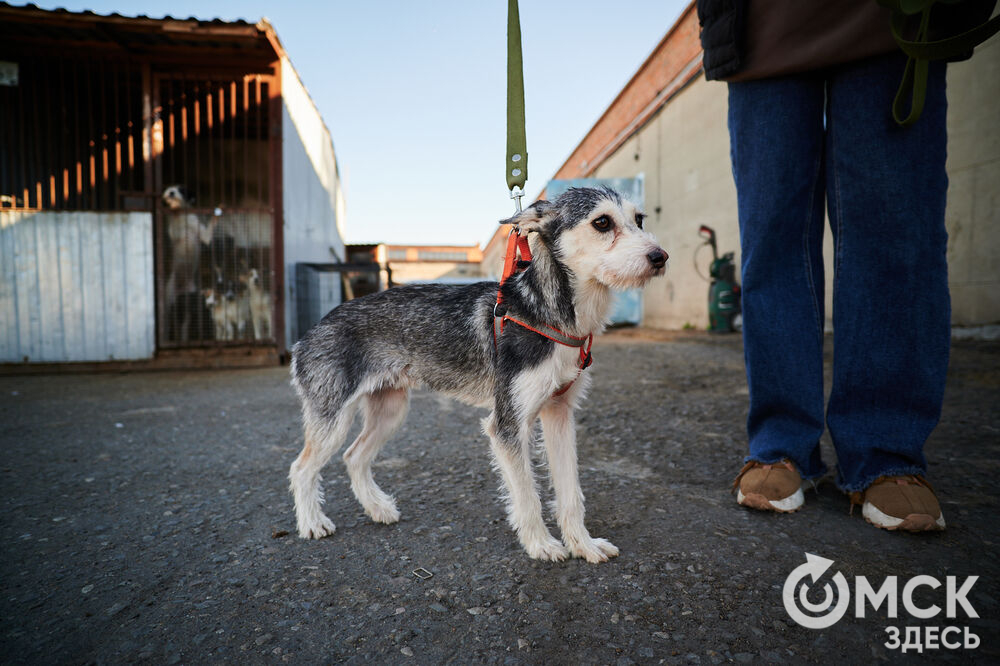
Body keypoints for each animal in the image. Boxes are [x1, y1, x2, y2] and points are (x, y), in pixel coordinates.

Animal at [290, 187, 664, 560]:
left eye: (639, 219)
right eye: (602, 223)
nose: (660, 257)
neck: (550, 312)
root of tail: (308, 334)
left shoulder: (560, 414)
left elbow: (571, 492)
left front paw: (583, 545)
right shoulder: (507, 425)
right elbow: (527, 496)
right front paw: (541, 544)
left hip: (390, 411)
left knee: (354, 457)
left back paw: (377, 508)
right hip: (333, 418)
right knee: (302, 468)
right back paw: (312, 523)